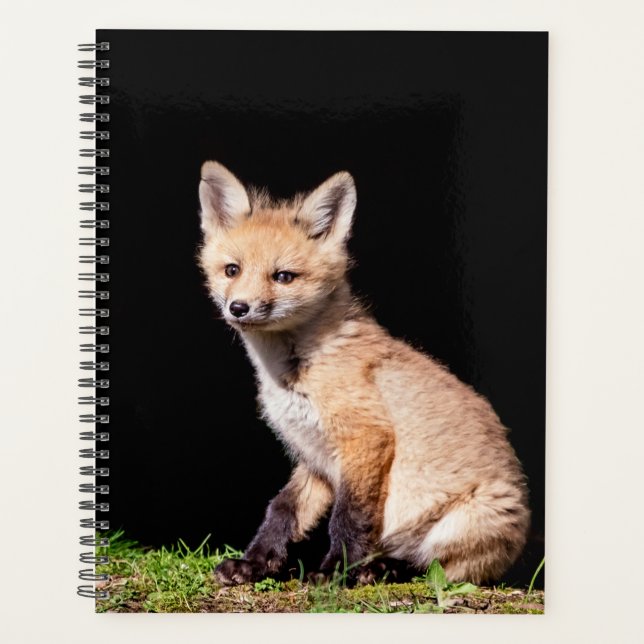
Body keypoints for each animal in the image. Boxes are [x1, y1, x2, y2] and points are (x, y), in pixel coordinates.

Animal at [197, 161, 530, 586]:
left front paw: (335, 570)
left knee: (434, 567)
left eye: (283, 277)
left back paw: (382, 568)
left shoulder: (366, 437)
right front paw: (254, 563)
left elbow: (349, 516)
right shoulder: (315, 457)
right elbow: (283, 509)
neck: (292, 374)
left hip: (466, 523)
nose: (238, 307)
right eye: (232, 270)